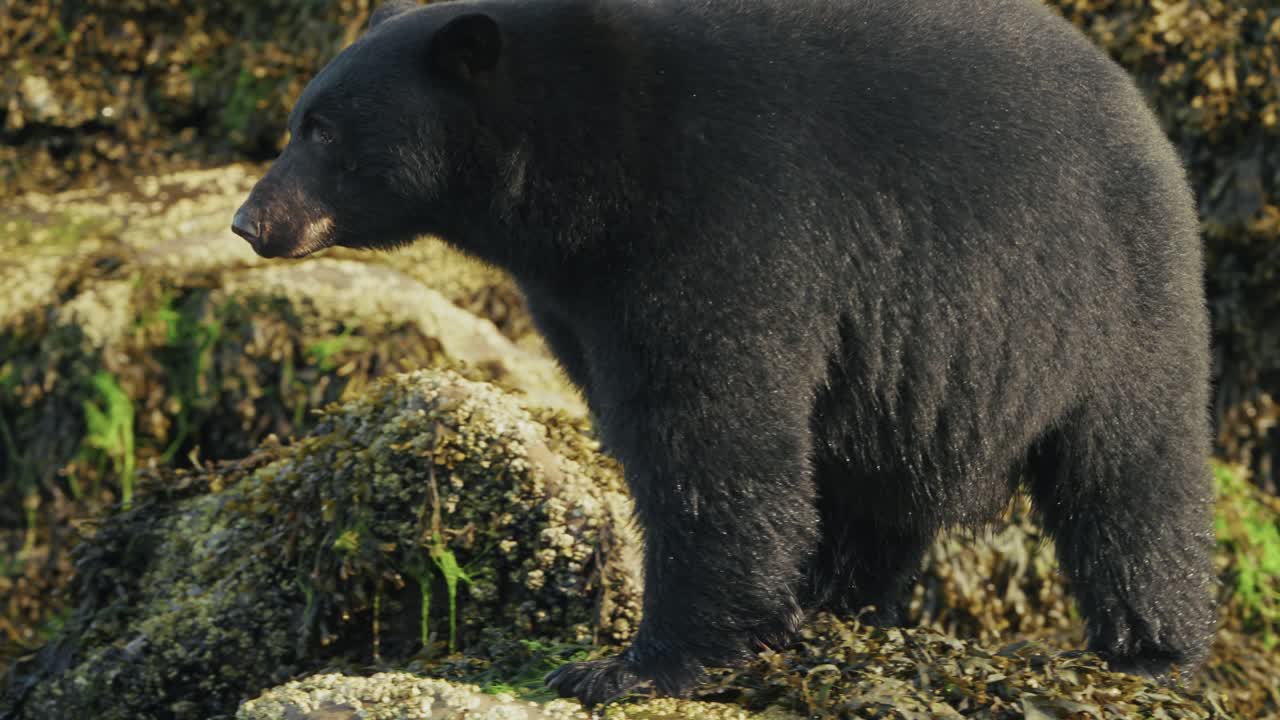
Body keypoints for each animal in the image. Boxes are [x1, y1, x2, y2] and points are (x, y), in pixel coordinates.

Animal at [232, 0, 1217, 706]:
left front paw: (632, 665)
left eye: (323, 129)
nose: (249, 221)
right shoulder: (577, 291)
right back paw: (833, 606)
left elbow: (709, 432)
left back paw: (1152, 652)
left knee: (1131, 478)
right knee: (872, 484)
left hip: (1107, 298)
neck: (579, 165)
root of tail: (1143, 115)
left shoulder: (721, 220)